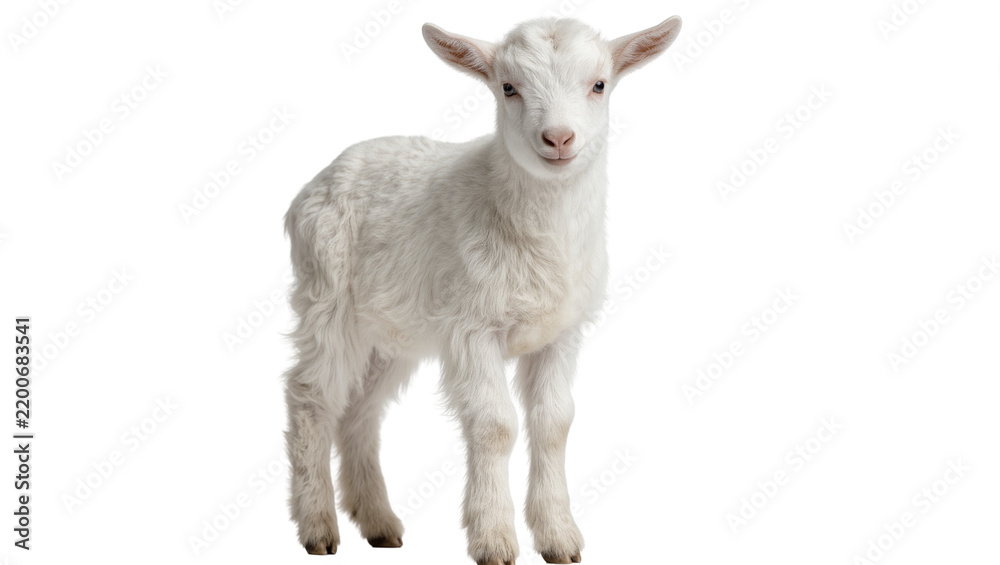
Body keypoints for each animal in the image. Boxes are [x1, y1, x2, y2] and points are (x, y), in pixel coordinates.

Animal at [283, 15, 682, 565]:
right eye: (508, 87)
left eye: (599, 84)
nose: (558, 138)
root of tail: (321, 177)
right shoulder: (472, 327)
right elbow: (496, 425)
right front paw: (494, 538)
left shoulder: (562, 332)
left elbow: (554, 422)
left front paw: (559, 537)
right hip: (326, 297)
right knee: (312, 398)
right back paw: (318, 526)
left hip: (393, 333)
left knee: (361, 412)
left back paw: (379, 522)